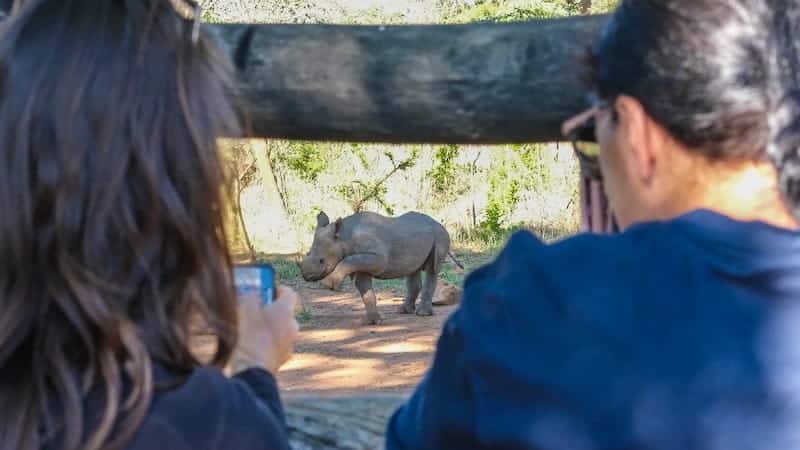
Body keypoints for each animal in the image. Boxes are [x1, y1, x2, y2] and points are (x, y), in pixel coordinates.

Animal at [299, 210, 463, 325]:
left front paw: (328, 285)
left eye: (321, 261)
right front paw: (372, 322)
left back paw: (422, 314)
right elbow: (364, 288)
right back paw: (403, 311)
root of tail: (439, 223)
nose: (306, 277)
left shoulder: (377, 258)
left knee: (432, 269)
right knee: (413, 270)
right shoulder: (363, 263)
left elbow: (350, 263)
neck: (345, 237)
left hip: (440, 235)